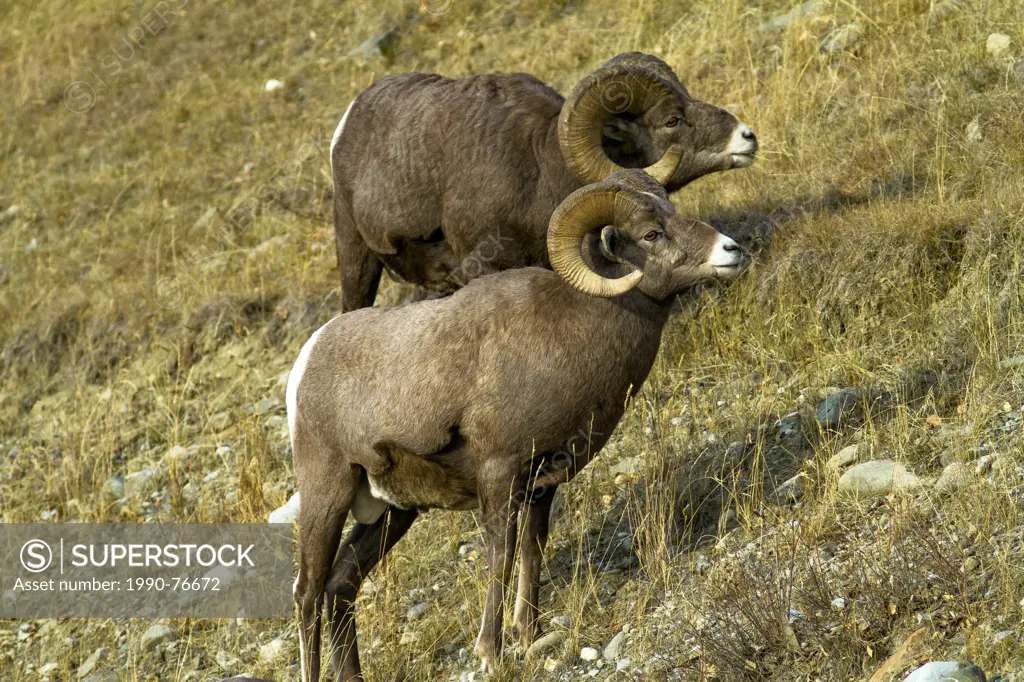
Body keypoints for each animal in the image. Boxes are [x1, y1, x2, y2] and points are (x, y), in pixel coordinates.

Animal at [288, 168, 745, 675]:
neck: (573, 329)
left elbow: (532, 548)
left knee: (340, 585)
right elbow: (500, 558)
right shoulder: (499, 473)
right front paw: (492, 654)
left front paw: (529, 634)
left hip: (393, 511)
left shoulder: (543, 481)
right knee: (308, 593)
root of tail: (308, 358)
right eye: (650, 234)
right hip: (327, 495)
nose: (731, 250)